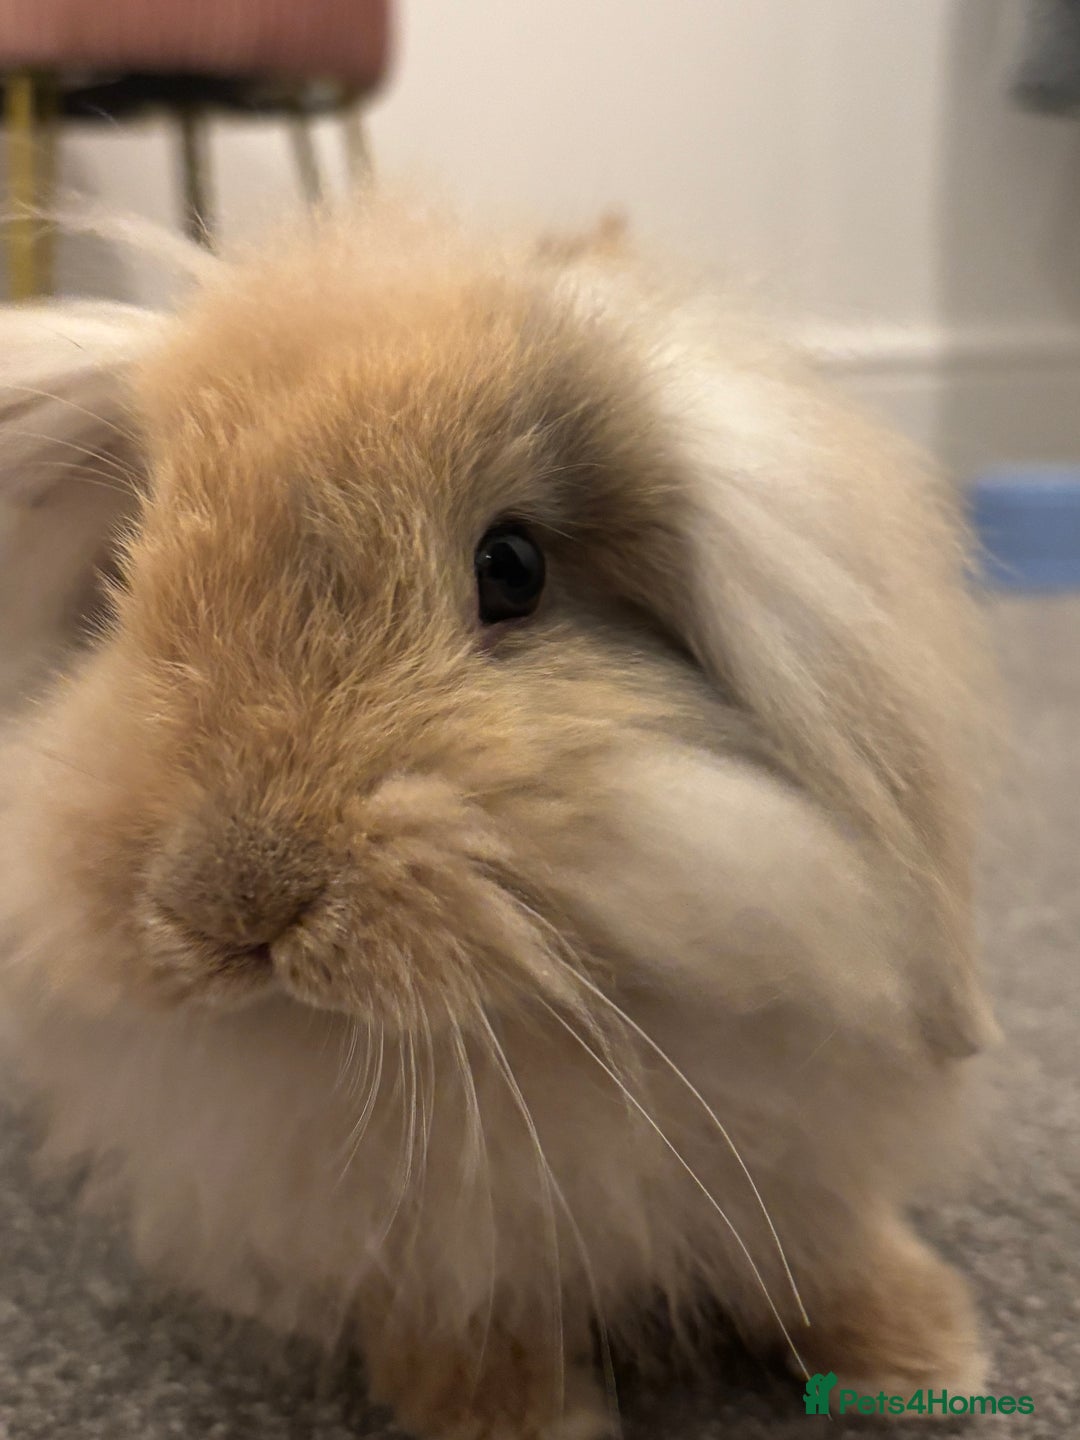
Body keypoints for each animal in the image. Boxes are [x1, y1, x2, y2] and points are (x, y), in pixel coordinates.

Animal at [0, 199, 999, 1439]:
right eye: (114, 587)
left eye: (513, 566)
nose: (233, 909)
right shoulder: (416, 1240)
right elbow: (467, 1316)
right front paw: (523, 1418)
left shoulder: (799, 1142)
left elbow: (828, 1251)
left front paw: (930, 1363)